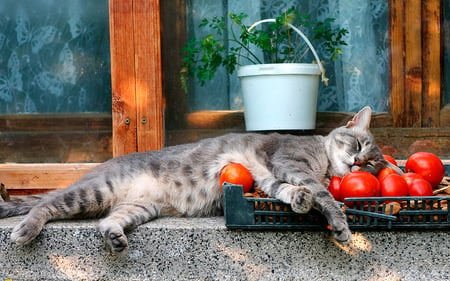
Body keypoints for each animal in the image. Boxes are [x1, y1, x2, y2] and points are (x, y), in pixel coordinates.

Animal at [0, 105, 400, 254]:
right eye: (358, 145)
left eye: (371, 165)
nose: (357, 163)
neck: (322, 163)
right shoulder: (289, 161)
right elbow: (324, 195)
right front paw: (340, 224)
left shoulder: (268, 177)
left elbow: (287, 191)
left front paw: (300, 200)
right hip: (93, 191)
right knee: (45, 205)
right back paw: (25, 230)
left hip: (138, 207)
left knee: (107, 221)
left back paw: (114, 238)